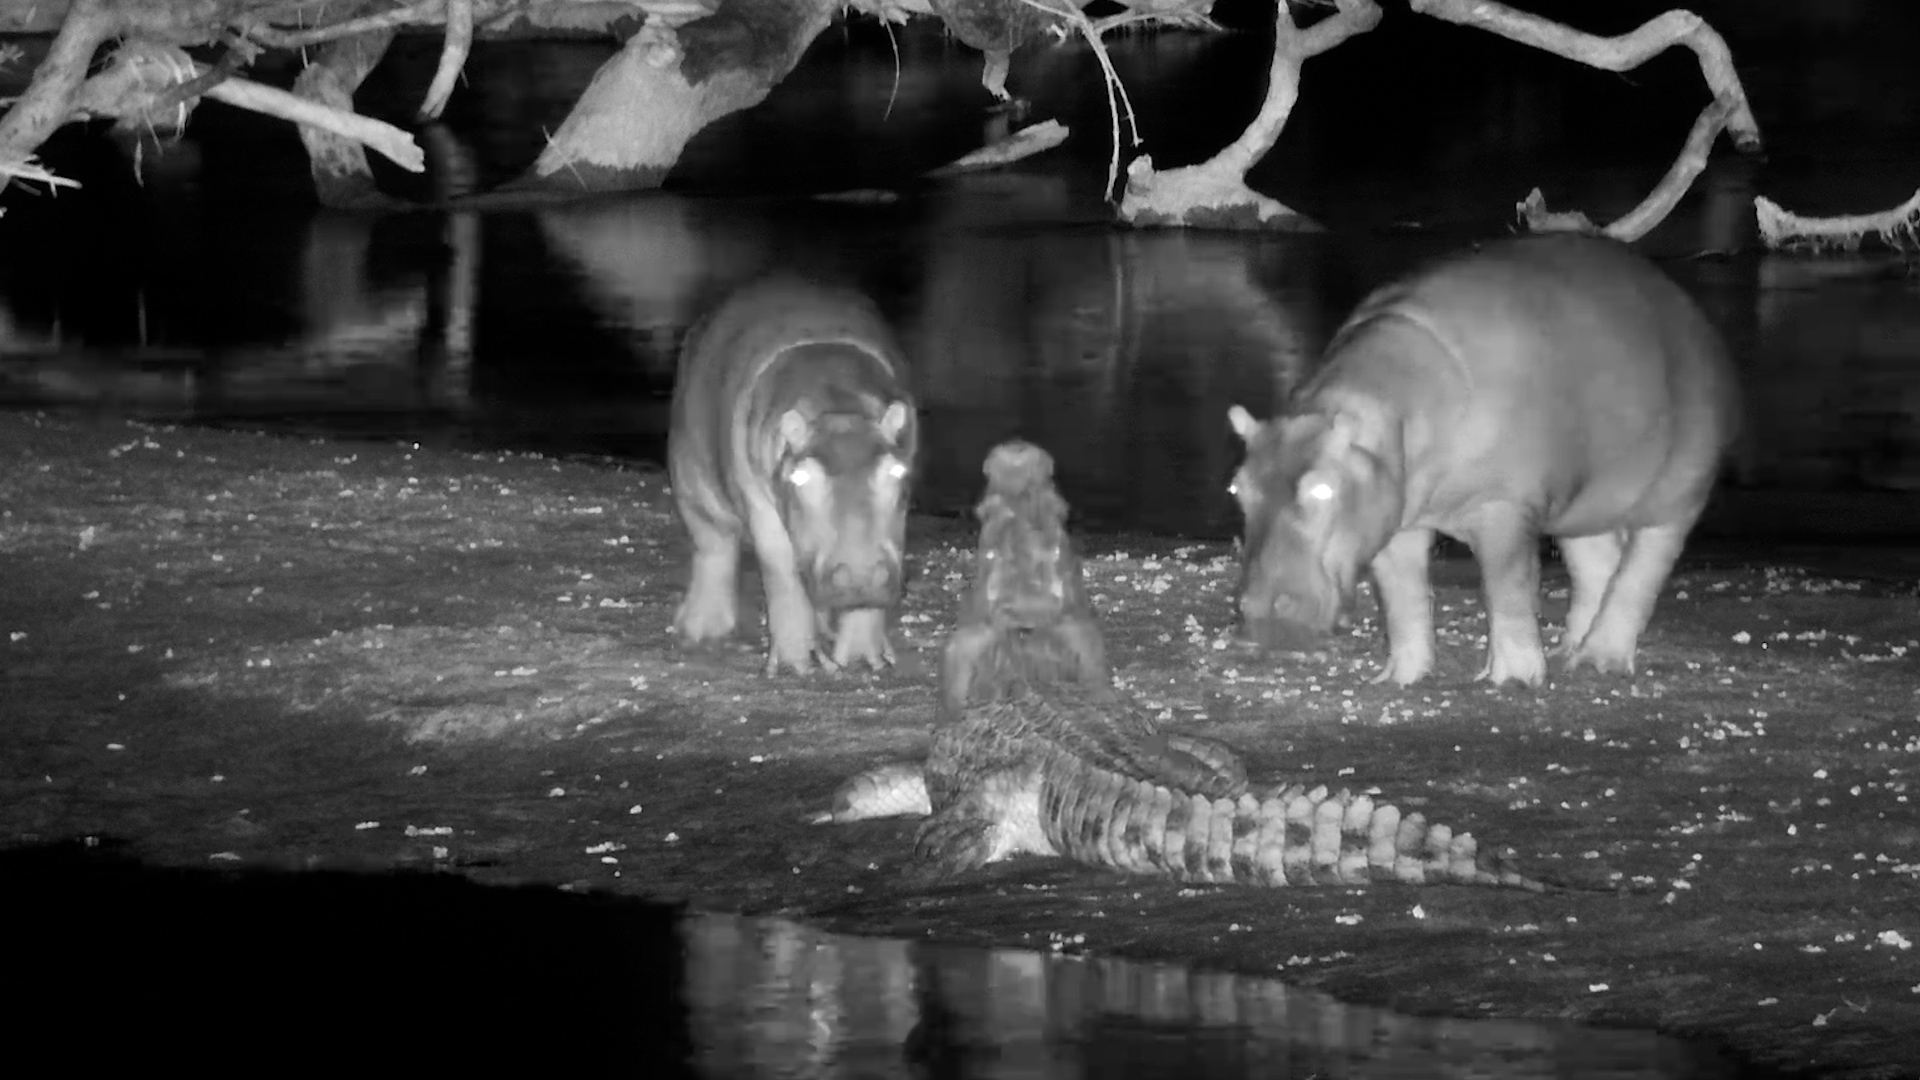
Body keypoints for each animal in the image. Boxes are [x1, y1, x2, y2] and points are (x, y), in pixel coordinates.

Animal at [668, 276, 918, 675]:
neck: (839, 406)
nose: (860, 577)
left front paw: (865, 662)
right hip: (693, 484)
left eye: (898, 471)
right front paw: (793, 667)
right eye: (801, 477)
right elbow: (782, 575)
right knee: (714, 548)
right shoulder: (759, 504)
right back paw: (700, 631)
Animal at [1227, 234, 1741, 688]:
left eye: (1322, 488)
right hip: (1583, 508)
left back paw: (1602, 661)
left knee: (1640, 573)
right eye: (1237, 487)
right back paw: (1574, 654)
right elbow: (1403, 600)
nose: (1258, 609)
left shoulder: (1503, 509)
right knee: (1599, 567)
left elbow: (1507, 592)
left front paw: (1511, 679)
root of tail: (1688, 307)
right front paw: (1398, 679)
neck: (1385, 406)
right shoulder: (1392, 519)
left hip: (1678, 494)